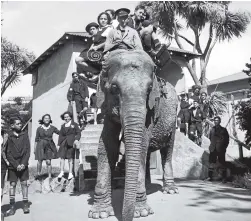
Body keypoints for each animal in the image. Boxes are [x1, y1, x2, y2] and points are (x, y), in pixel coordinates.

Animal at [88, 49, 178, 221]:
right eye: (114, 88)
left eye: (150, 89)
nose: (124, 218)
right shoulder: (107, 108)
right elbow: (107, 144)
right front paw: (100, 213)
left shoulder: (151, 110)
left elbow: (141, 142)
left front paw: (141, 212)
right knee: (147, 153)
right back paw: (149, 186)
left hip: (174, 119)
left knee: (167, 150)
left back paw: (170, 190)